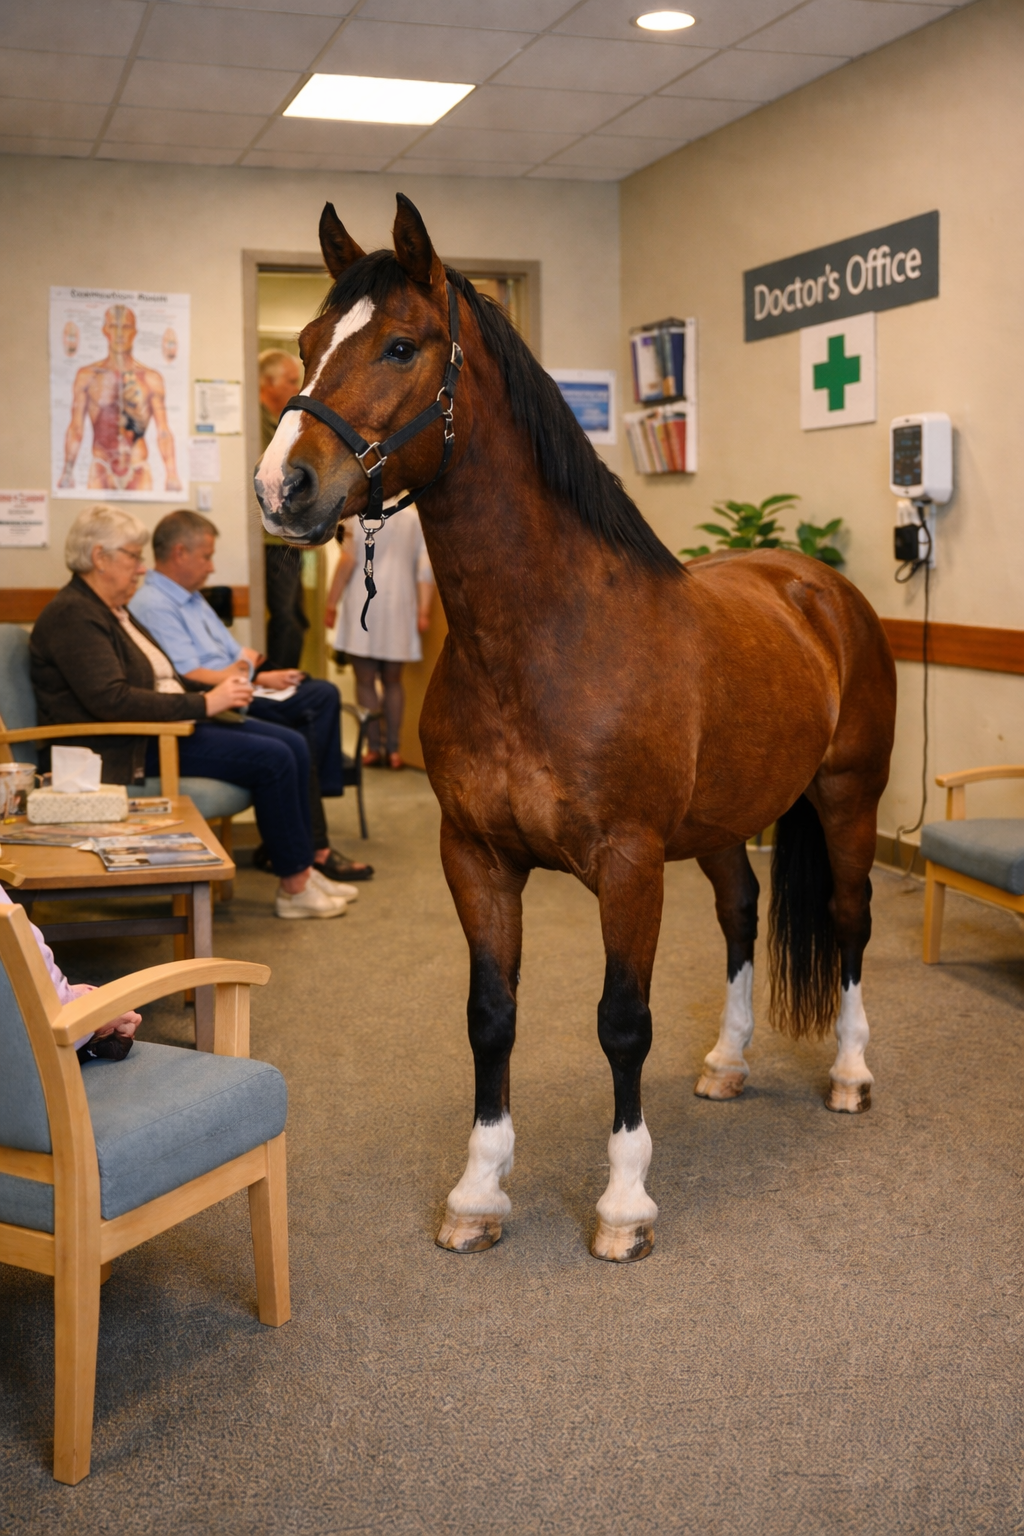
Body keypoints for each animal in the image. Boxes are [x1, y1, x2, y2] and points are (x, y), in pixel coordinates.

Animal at [255, 194, 897, 1264]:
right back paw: (727, 1061)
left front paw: (624, 1204)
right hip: (721, 825)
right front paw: (478, 1192)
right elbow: (491, 1016)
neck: (543, 641)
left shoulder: (629, 864)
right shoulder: (475, 856)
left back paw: (850, 1075)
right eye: (305, 343)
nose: (281, 488)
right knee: (740, 912)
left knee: (849, 921)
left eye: (400, 345)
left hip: (848, 799)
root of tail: (818, 586)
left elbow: (622, 1021)